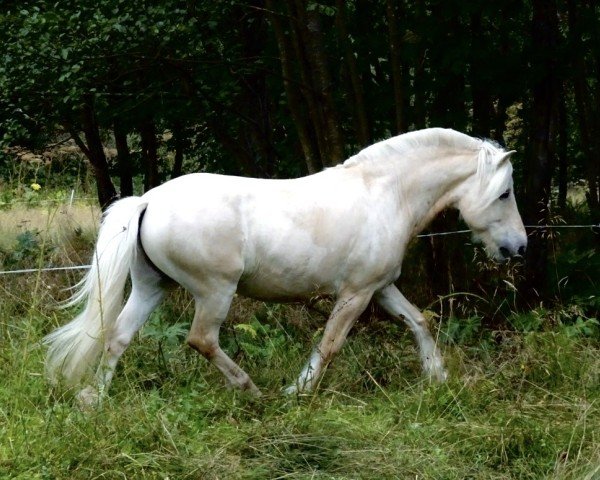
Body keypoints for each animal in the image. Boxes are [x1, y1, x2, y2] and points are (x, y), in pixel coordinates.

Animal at [44, 125, 528, 404]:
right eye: (505, 193)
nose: (518, 248)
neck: (386, 193)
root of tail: (148, 200)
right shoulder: (355, 293)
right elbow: (330, 345)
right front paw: (299, 391)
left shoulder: (381, 287)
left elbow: (419, 321)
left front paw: (437, 376)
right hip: (215, 291)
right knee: (201, 339)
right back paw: (252, 391)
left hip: (151, 287)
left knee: (118, 337)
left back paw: (92, 400)